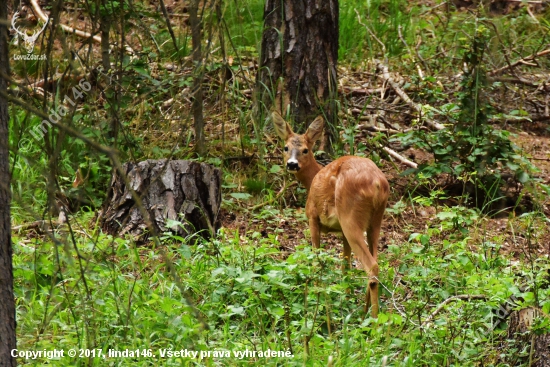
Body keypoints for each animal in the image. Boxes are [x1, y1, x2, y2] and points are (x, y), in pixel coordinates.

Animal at [274, 110, 390, 318]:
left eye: (305, 150)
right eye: (286, 147)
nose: (292, 164)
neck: (313, 179)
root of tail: (377, 184)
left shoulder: (312, 217)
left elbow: (315, 258)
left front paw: (316, 294)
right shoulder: (341, 232)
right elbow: (345, 263)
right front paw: (346, 295)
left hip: (350, 216)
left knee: (372, 266)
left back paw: (374, 319)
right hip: (375, 220)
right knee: (376, 260)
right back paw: (364, 312)